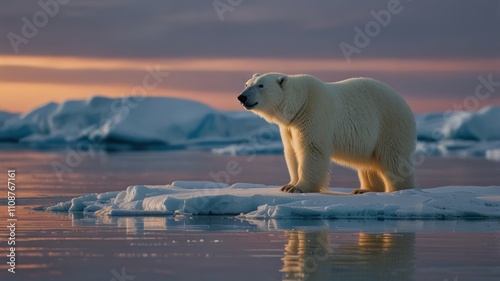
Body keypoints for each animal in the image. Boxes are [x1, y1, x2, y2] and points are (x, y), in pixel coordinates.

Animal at [236, 72, 416, 192]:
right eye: (246, 84)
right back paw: (364, 190)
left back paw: (400, 190)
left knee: (394, 159)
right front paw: (289, 185)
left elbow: (311, 149)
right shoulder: (289, 127)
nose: (241, 97)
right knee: (369, 164)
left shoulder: (314, 112)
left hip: (389, 124)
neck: (300, 103)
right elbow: (292, 152)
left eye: (260, 85)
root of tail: (404, 103)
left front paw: (299, 188)